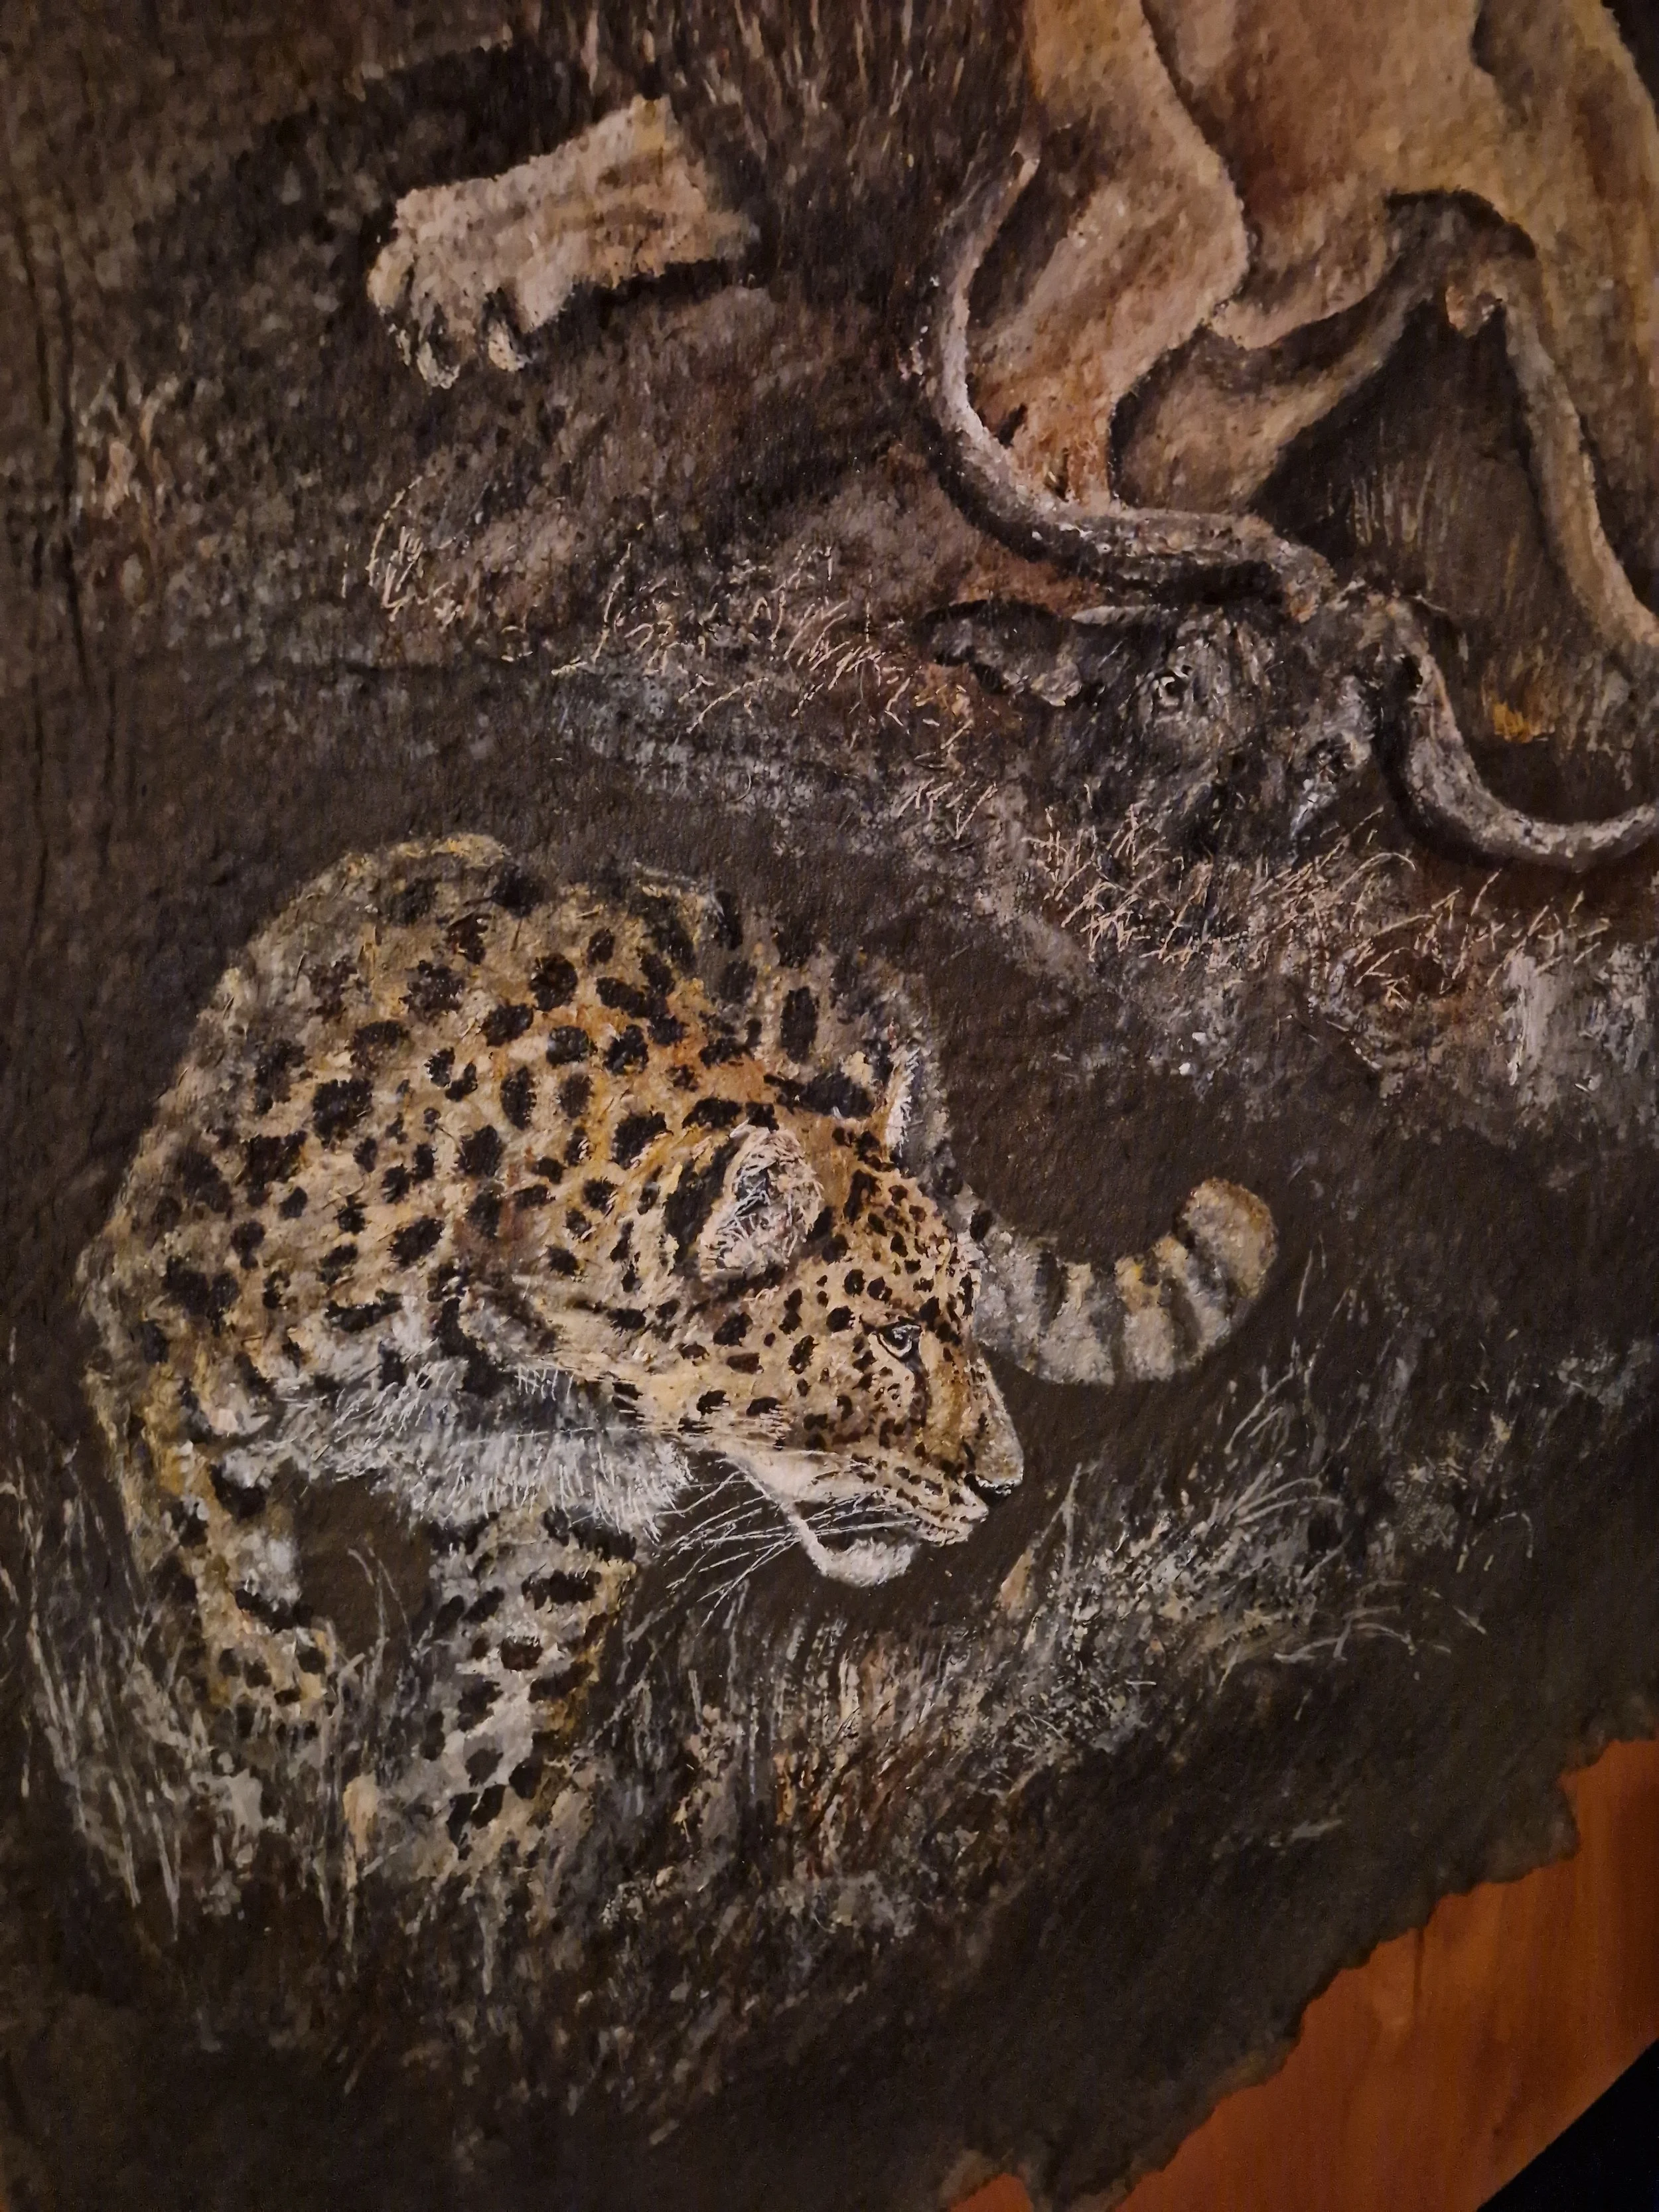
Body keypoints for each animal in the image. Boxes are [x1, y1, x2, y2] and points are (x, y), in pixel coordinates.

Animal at [76, 835, 1276, 1887]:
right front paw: (300, 1770)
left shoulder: (566, 1507)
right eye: (894, 1336)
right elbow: (226, 1613)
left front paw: (445, 1892)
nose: (1006, 1484)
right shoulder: (154, 1364)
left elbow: (499, 1709)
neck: (510, 1359)